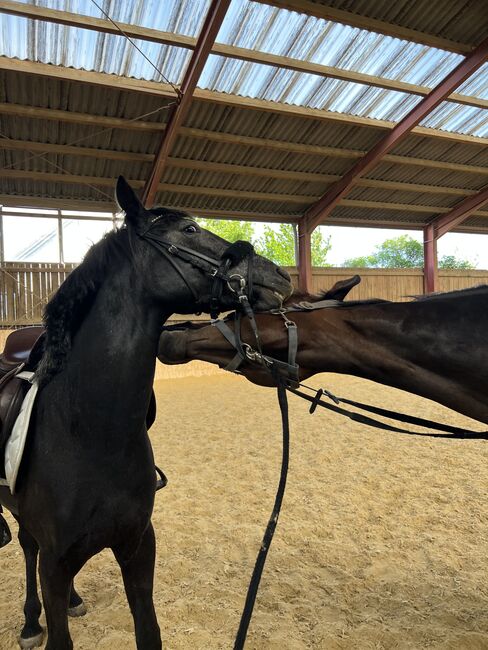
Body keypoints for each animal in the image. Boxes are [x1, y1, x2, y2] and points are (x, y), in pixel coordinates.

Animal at [0, 175, 292, 644]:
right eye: (189, 230)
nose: (281, 275)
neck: (90, 435)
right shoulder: (54, 563)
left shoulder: (138, 548)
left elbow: (148, 630)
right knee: (27, 549)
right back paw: (30, 622)